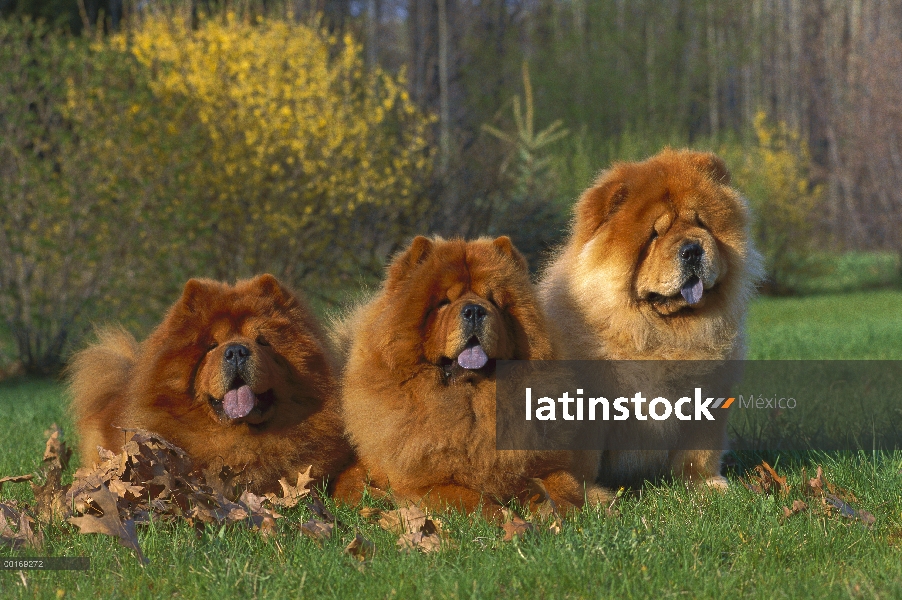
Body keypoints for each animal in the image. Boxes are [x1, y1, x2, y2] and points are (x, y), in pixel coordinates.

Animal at [336, 237, 604, 516]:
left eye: (493, 301)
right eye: (443, 302)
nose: (475, 310)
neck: (472, 404)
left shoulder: (541, 463)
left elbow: (563, 485)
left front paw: (564, 510)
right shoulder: (423, 482)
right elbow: (468, 498)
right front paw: (504, 517)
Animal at [544, 149, 764, 488]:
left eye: (700, 224)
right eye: (655, 234)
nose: (692, 249)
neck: (662, 336)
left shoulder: (708, 392)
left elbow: (699, 449)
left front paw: (705, 484)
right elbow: (582, 457)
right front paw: (584, 492)